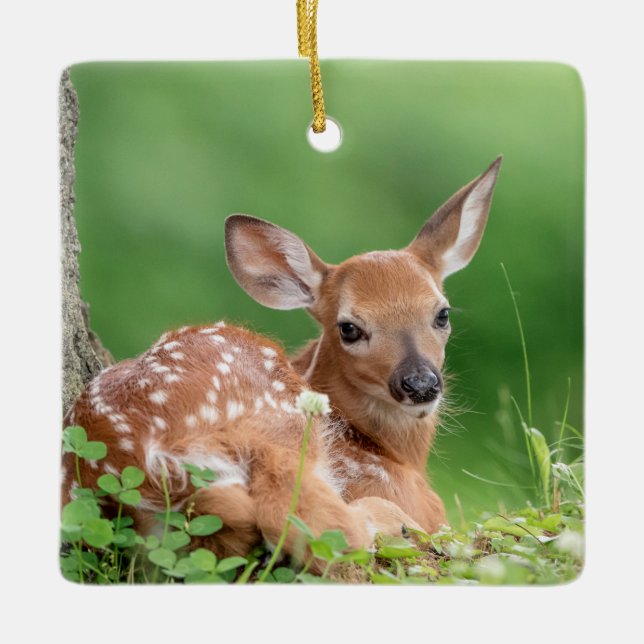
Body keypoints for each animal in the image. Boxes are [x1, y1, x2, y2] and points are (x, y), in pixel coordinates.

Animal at [62, 156, 501, 568]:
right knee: (309, 523)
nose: (420, 384)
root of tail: (151, 464)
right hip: (278, 428)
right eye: (349, 328)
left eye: (442, 314)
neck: (390, 451)